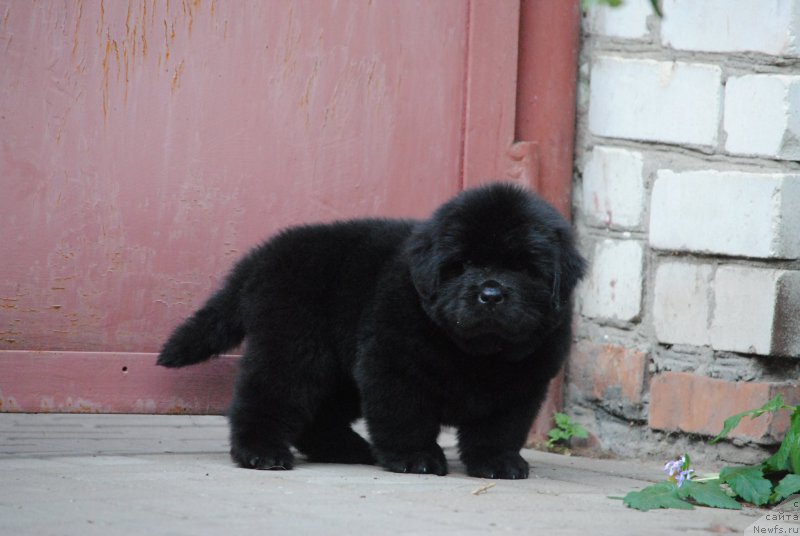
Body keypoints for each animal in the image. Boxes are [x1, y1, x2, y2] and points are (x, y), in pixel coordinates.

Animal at [156, 182, 584, 480]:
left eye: (524, 268)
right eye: (462, 265)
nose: (491, 294)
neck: (475, 352)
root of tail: (262, 256)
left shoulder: (520, 386)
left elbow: (499, 429)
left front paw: (498, 463)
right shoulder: (393, 367)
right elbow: (405, 416)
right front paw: (415, 458)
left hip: (340, 374)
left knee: (318, 414)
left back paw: (345, 448)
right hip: (295, 348)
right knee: (266, 396)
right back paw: (261, 453)